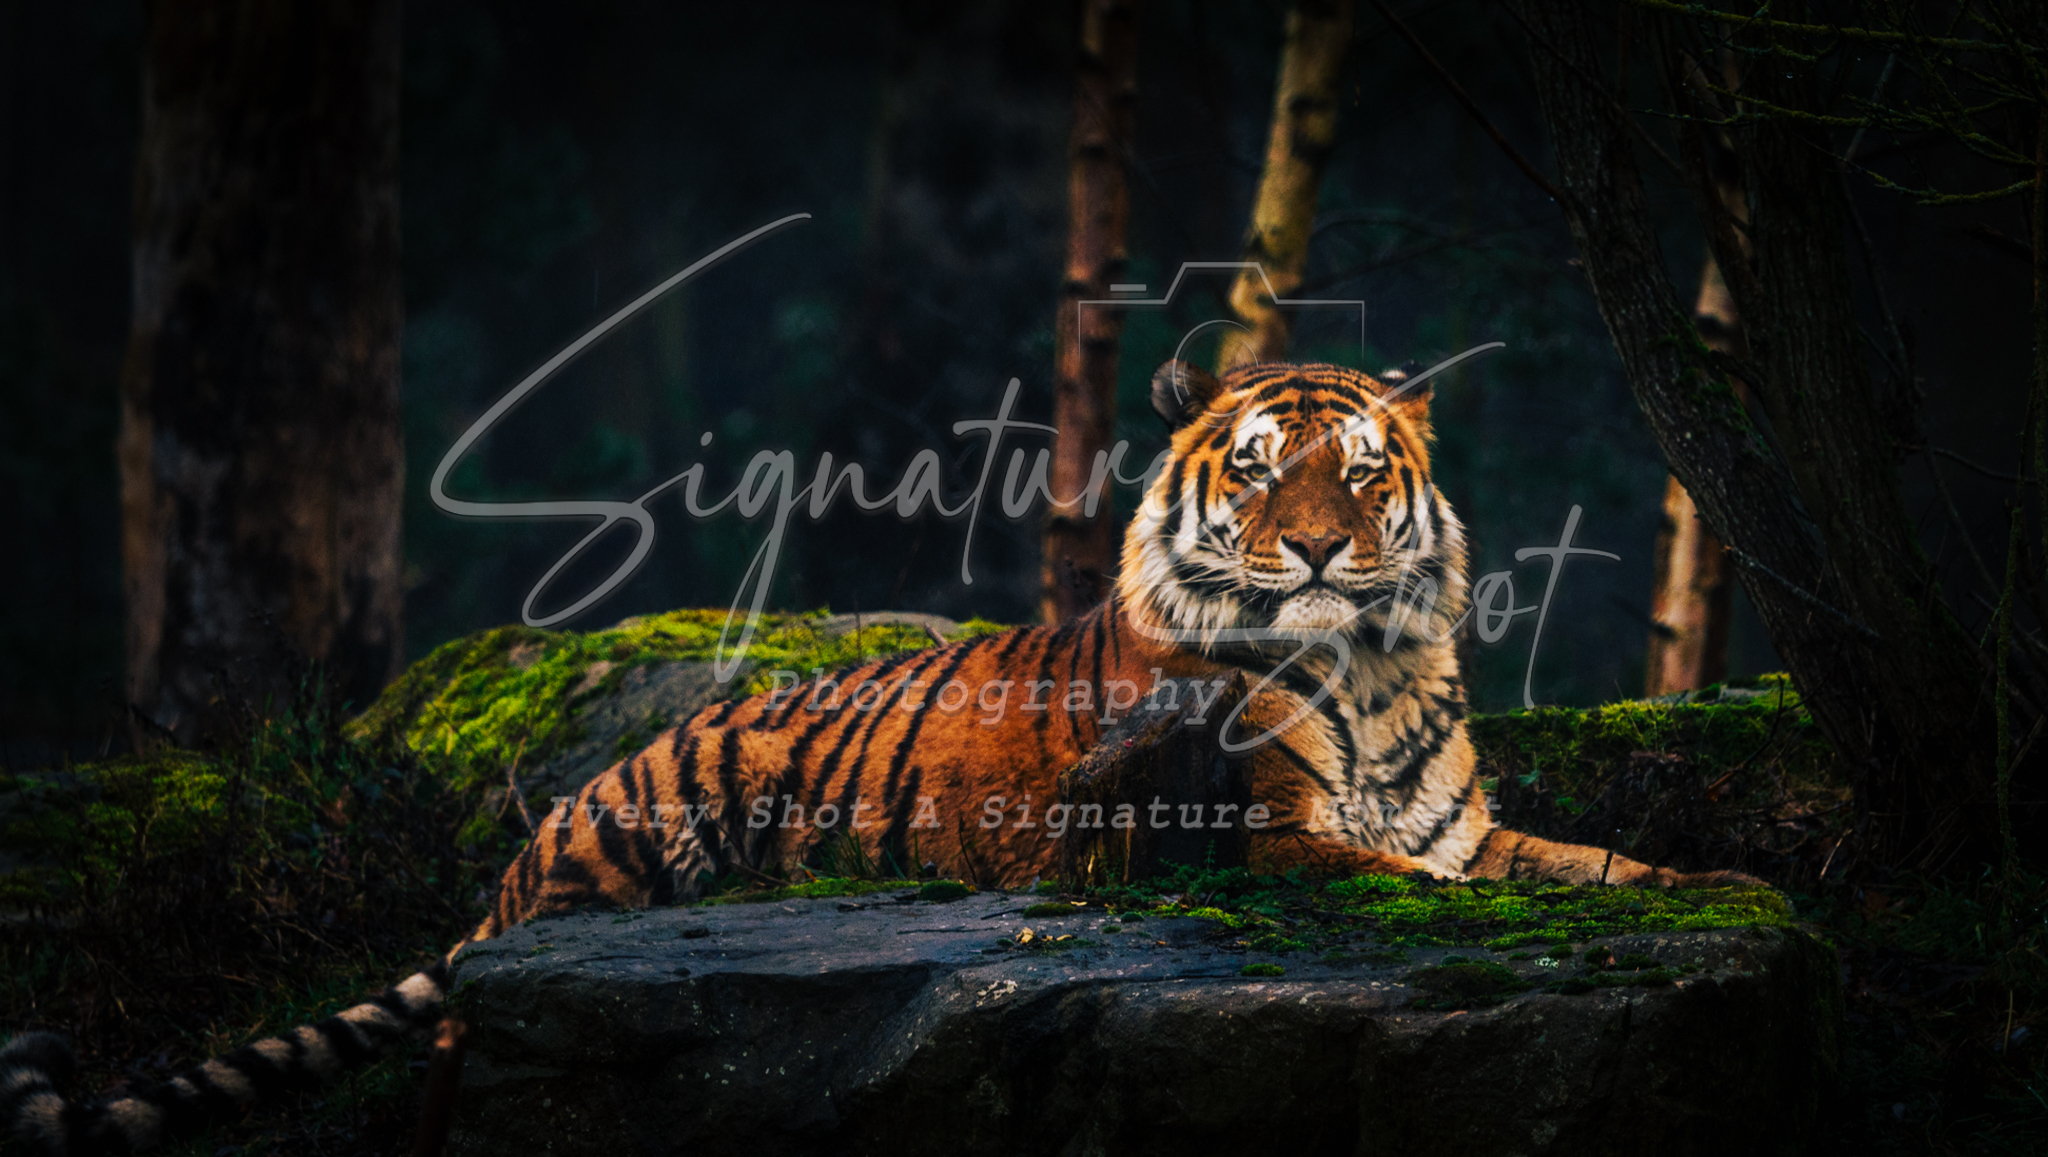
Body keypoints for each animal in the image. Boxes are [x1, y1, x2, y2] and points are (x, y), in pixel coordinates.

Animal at [2, 359, 1749, 1154]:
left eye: (1360, 473)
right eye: (1257, 476)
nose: (1317, 553)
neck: (1375, 669)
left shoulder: (1457, 832)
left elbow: (1597, 865)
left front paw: (1721, 890)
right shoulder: (1259, 850)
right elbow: (1432, 897)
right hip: (611, 864)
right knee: (461, 1037)